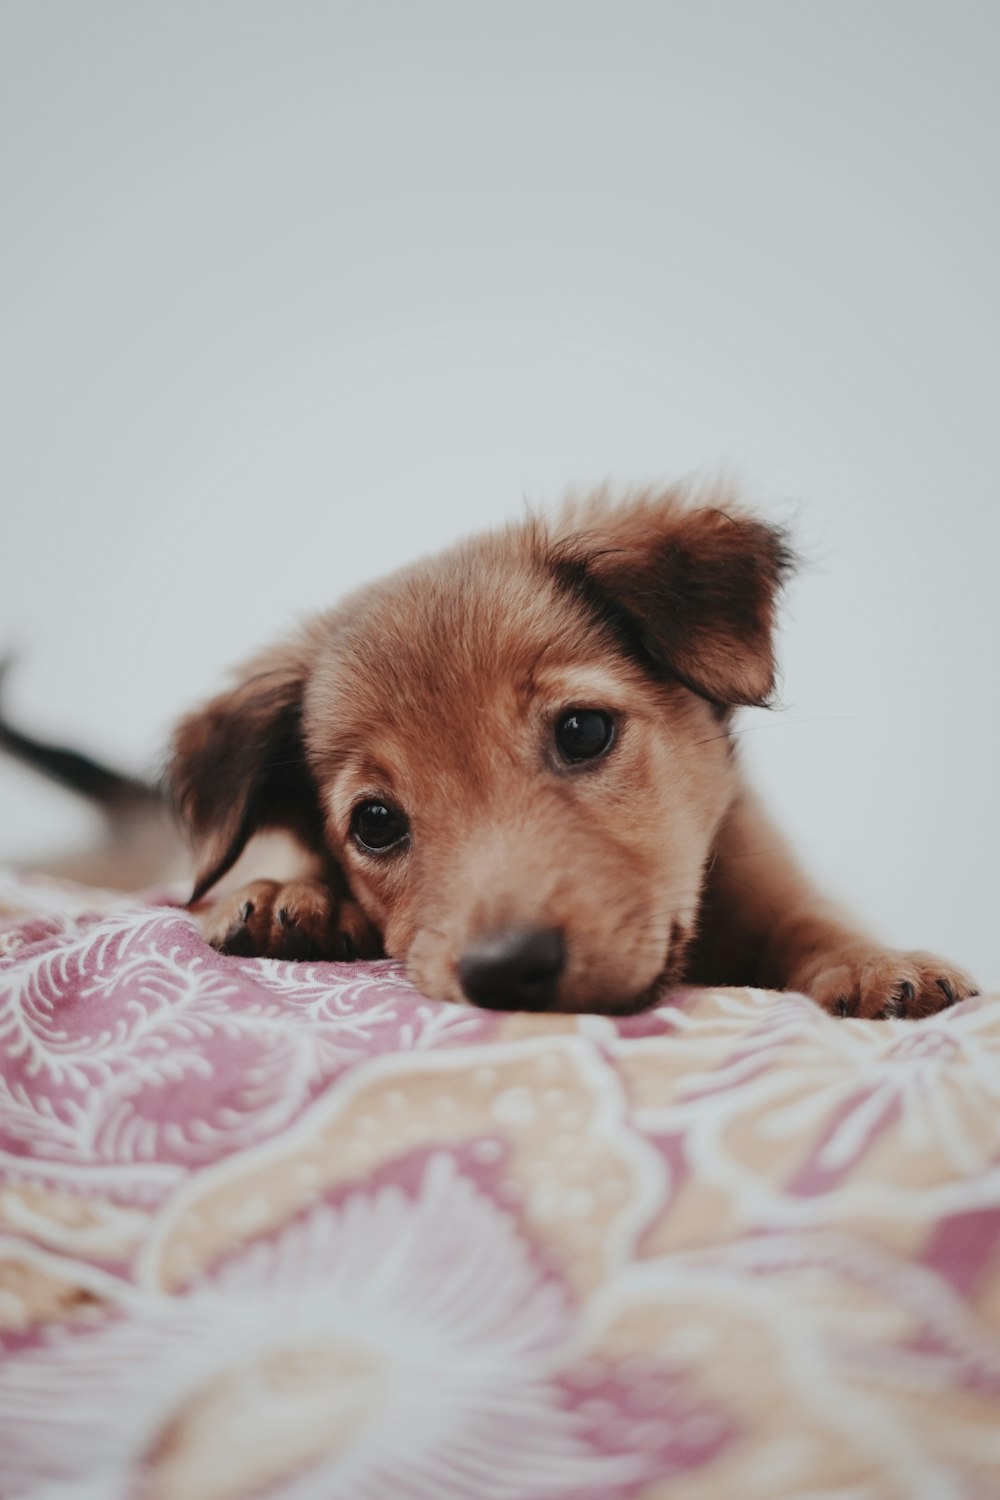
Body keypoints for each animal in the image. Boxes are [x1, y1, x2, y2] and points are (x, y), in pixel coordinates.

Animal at [170, 489, 977, 1020]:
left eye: (583, 732)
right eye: (374, 821)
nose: (506, 974)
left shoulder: (773, 878)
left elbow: (813, 920)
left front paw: (877, 964)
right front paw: (297, 893)